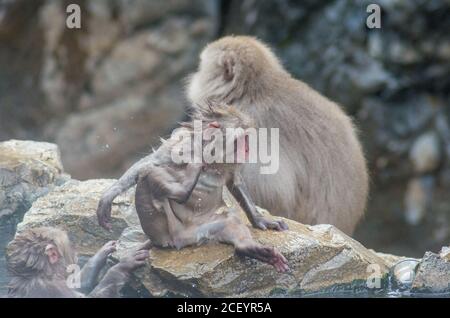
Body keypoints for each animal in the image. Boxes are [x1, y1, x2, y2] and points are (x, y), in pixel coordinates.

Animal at [134, 103, 288, 272]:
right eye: (241, 140)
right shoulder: (181, 147)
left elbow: (235, 181)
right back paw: (182, 191)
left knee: (229, 222)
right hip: (178, 234)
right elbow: (150, 166)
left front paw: (261, 220)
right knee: (150, 175)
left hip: (203, 230)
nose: (247, 150)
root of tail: (181, 242)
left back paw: (250, 248)